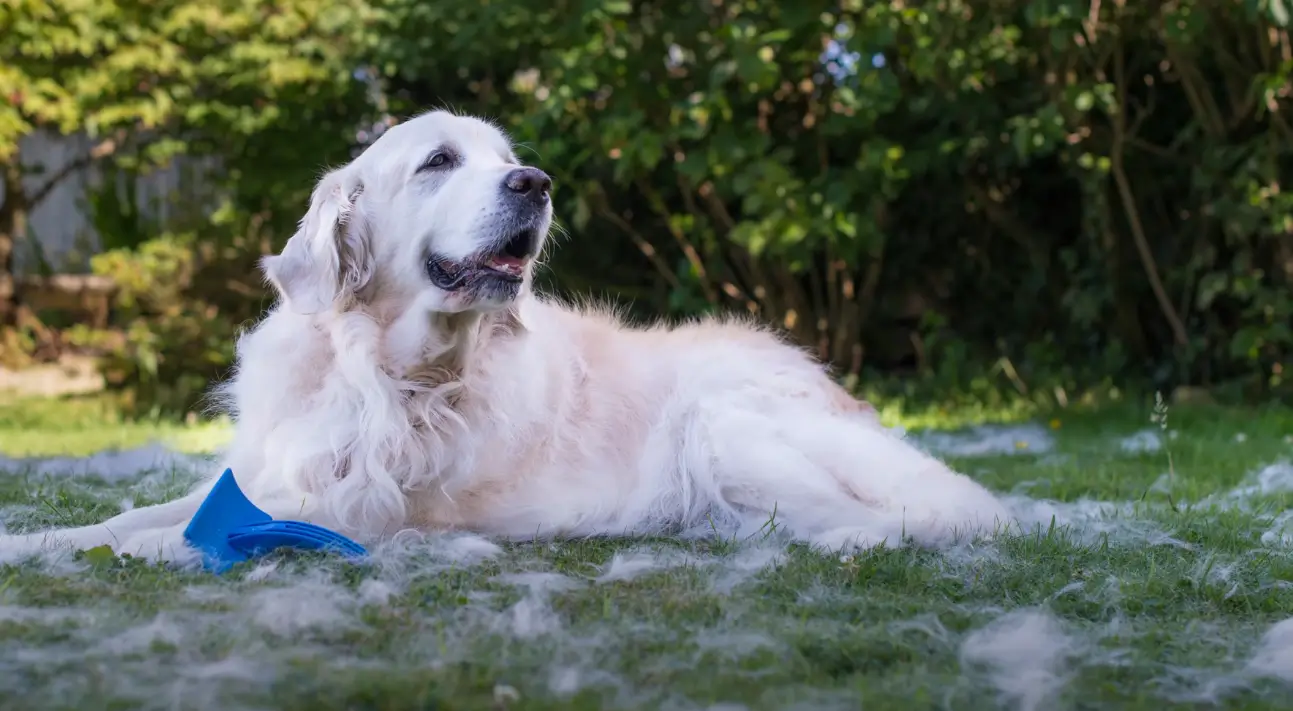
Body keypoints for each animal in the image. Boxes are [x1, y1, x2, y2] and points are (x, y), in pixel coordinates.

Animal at [0, 111, 1008, 568]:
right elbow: (132, 517)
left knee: (906, 518)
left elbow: (170, 538)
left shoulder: (355, 515)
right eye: (439, 161)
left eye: (506, 159)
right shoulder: (269, 476)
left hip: (728, 426)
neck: (376, 368)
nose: (537, 183)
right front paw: (36, 539)